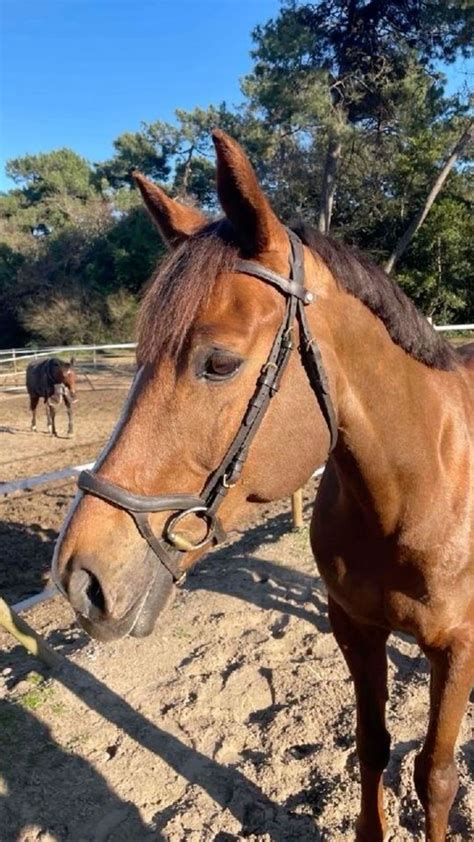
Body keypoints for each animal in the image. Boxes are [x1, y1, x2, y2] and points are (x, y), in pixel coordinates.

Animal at [52, 128, 474, 836]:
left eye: (219, 363)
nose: (79, 579)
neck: (412, 493)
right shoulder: (353, 626)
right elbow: (372, 747)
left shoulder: (458, 648)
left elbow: (436, 777)